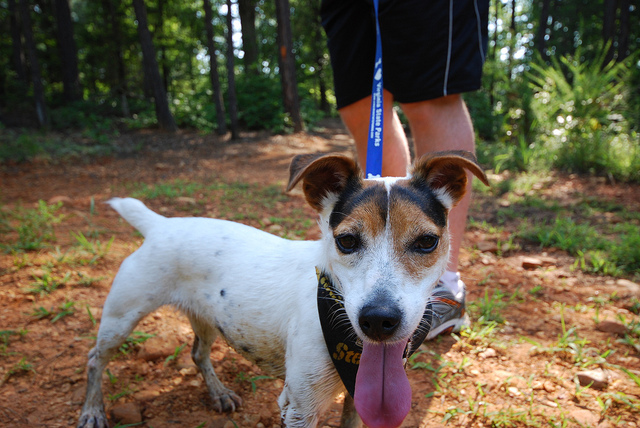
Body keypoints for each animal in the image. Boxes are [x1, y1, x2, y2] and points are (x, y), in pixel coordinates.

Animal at [77, 150, 488, 428]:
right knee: (96, 359)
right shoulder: (299, 407)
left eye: (426, 242)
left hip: (208, 317)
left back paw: (219, 393)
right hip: (121, 318)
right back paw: (92, 411)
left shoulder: (359, 396)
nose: (377, 320)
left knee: (197, 353)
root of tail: (160, 224)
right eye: (346, 241)